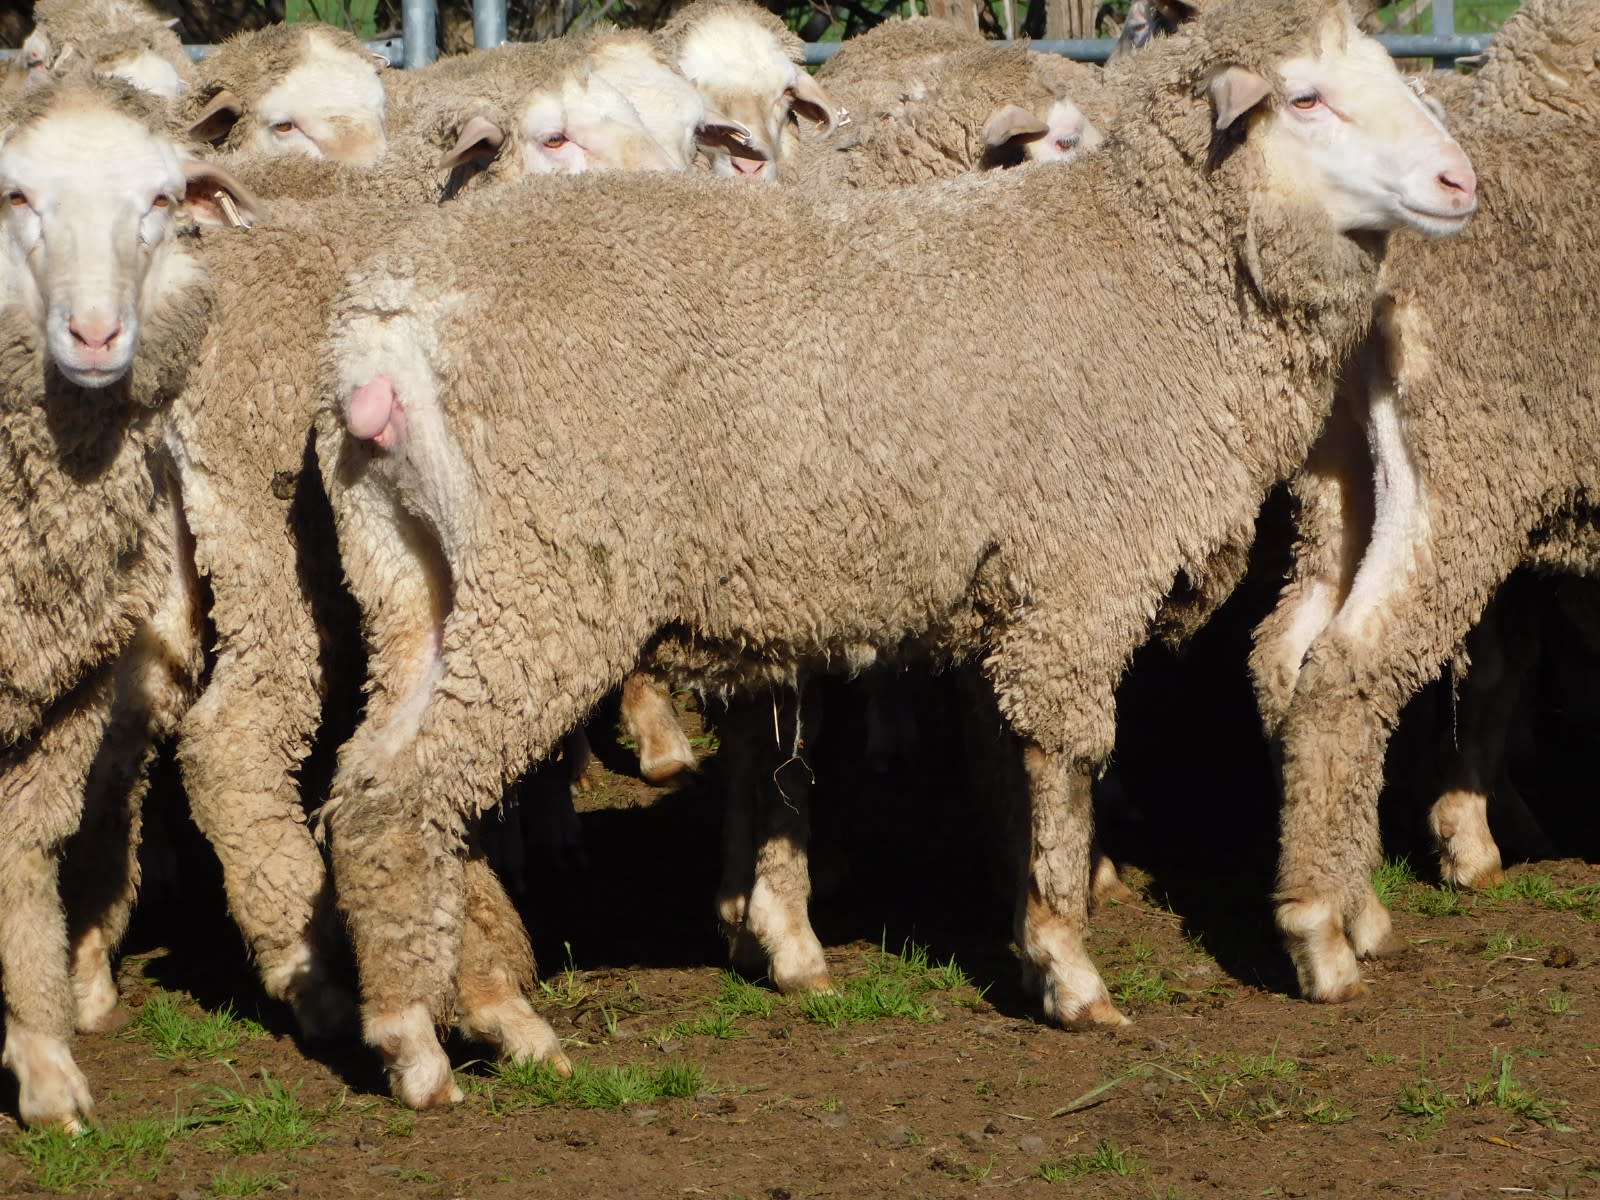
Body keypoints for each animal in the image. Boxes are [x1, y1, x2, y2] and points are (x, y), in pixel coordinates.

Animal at [1248, 0, 1600, 1005]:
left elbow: (1497, 669)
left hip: (1340, 479)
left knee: (1286, 656)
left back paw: (1355, 901)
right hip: (1458, 473)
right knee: (1346, 671)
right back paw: (1319, 935)